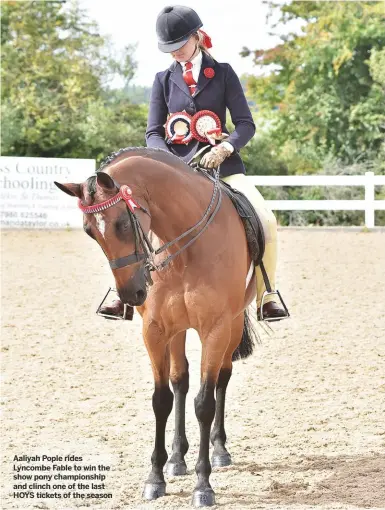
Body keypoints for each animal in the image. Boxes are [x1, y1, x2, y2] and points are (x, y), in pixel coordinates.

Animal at [54, 146, 260, 506]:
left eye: (123, 222)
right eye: (89, 231)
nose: (132, 293)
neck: (184, 246)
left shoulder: (216, 328)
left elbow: (205, 403)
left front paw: (203, 485)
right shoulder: (155, 330)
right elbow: (161, 399)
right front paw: (156, 477)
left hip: (232, 326)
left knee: (222, 378)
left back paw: (219, 449)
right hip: (177, 331)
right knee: (181, 381)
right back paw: (178, 458)